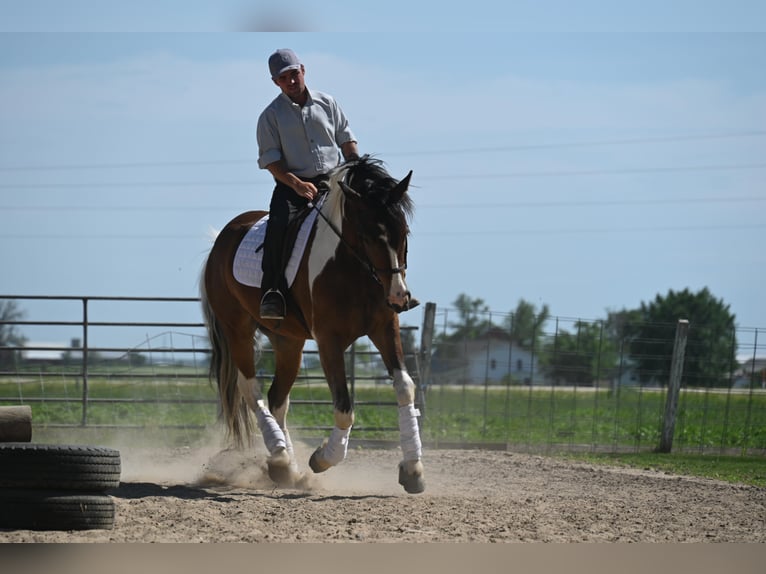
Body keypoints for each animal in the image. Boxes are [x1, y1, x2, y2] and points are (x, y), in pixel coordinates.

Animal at [198, 156, 426, 496]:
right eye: (368, 235)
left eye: (403, 231)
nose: (399, 296)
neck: (352, 268)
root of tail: (220, 241)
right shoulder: (329, 340)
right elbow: (344, 407)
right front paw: (323, 458)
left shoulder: (385, 328)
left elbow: (404, 388)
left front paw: (413, 469)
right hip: (237, 330)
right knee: (251, 389)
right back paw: (280, 457)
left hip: (288, 341)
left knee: (278, 398)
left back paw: (286, 467)